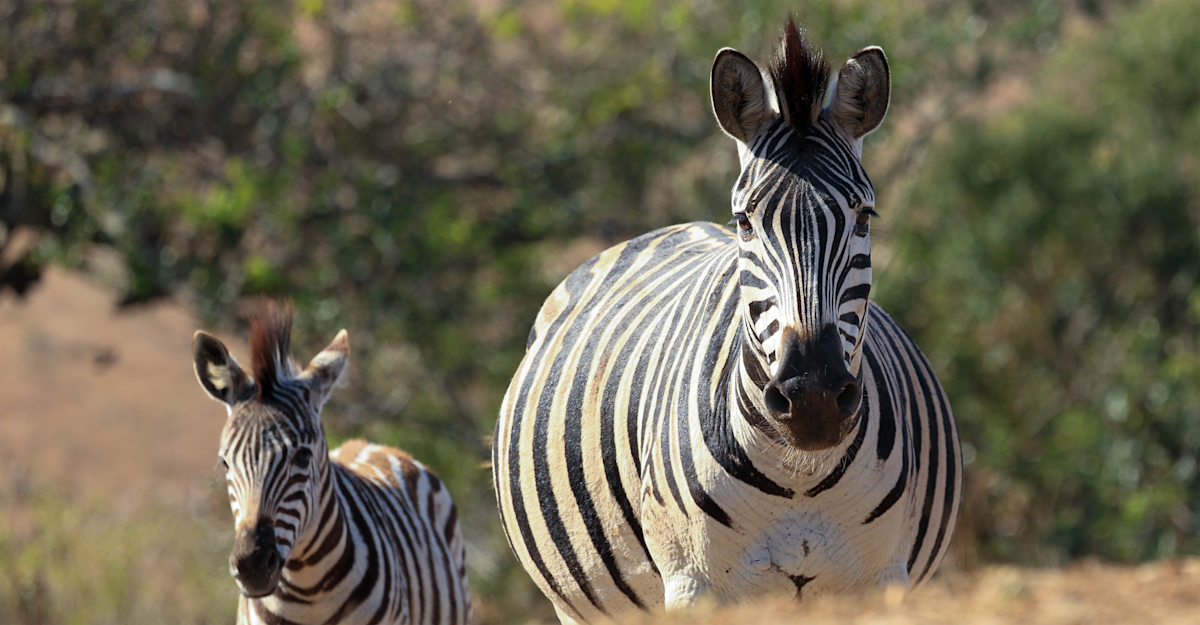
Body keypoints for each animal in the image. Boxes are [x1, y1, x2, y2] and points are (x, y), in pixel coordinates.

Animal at [492, 18, 961, 624]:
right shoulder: (695, 584)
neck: (799, 476)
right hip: (577, 609)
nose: (812, 398)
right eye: (744, 221)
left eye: (864, 216)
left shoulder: (881, 582)